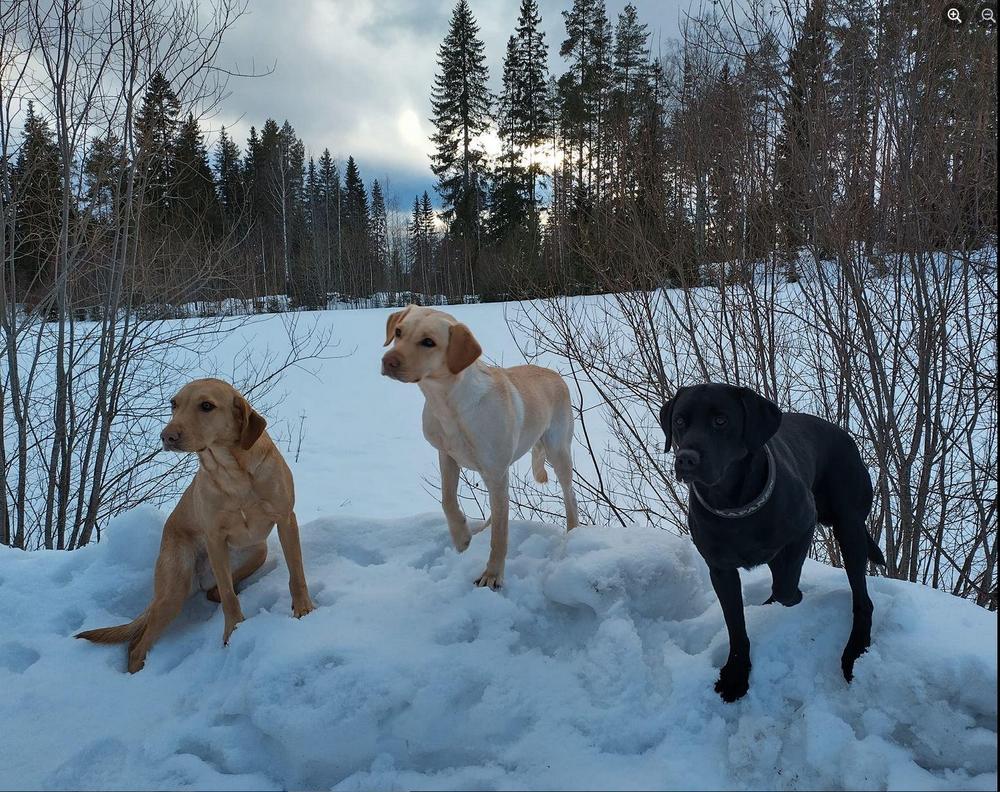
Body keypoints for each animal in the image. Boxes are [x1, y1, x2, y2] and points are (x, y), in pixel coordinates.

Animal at [76, 378, 314, 672]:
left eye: (207, 406)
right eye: (173, 404)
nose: (166, 436)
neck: (233, 472)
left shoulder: (285, 519)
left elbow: (296, 573)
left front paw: (304, 609)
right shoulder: (214, 538)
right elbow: (229, 597)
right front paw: (233, 632)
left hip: (258, 551)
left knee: (212, 592)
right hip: (173, 588)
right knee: (138, 644)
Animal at [381, 305, 579, 589]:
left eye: (428, 342)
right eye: (398, 332)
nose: (388, 361)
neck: (448, 404)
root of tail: (556, 374)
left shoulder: (496, 473)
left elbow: (500, 535)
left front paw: (493, 575)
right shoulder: (447, 456)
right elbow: (447, 500)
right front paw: (462, 536)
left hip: (558, 451)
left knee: (569, 496)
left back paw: (573, 533)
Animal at [660, 383, 885, 701]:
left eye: (720, 421)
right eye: (679, 421)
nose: (686, 459)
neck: (732, 504)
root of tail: (844, 435)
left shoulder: (802, 528)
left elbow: (786, 589)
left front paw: (790, 601)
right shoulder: (720, 569)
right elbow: (736, 625)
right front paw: (736, 675)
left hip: (849, 526)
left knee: (862, 599)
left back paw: (855, 650)